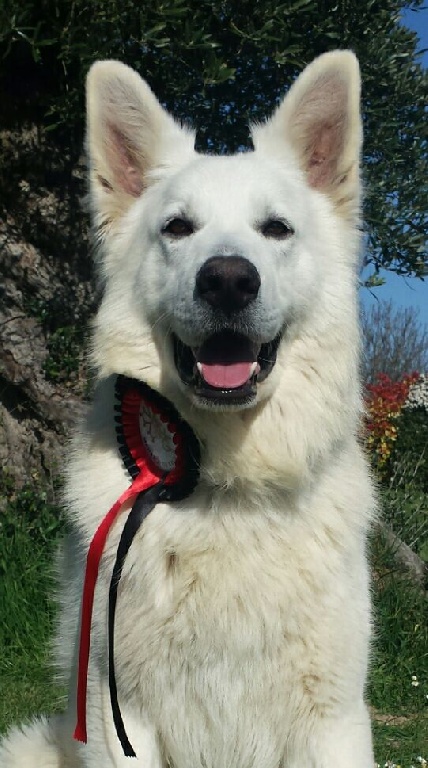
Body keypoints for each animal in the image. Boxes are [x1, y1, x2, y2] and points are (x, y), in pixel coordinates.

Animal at [0, 51, 374, 764]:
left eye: (276, 228)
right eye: (177, 227)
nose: (228, 279)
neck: (224, 488)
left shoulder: (334, 719)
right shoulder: (119, 713)